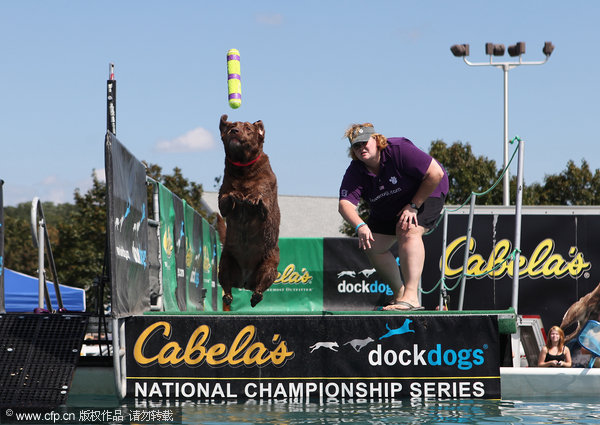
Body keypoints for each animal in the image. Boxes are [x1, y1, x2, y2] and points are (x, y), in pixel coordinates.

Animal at [217, 114, 280, 308]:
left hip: (269, 266)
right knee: (226, 284)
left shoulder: (267, 193)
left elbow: (262, 198)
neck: (243, 169)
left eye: (248, 129)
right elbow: (226, 198)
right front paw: (236, 195)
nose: (234, 131)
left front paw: (252, 197)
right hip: (225, 262)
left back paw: (256, 296)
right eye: (231, 126)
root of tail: (245, 282)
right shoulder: (223, 196)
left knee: (261, 287)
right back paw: (228, 297)